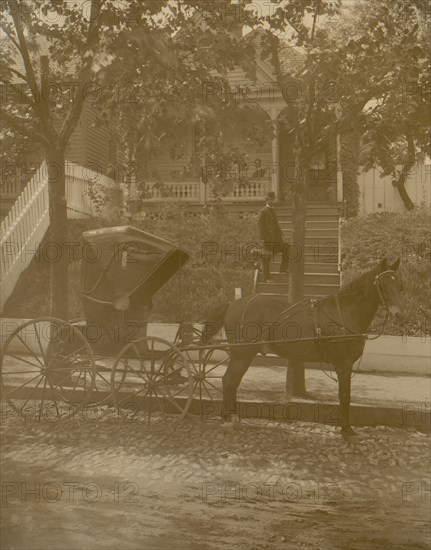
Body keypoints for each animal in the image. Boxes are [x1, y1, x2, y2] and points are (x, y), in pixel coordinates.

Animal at [202, 258, 404, 440]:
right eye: (384, 284)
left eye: (400, 285)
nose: (399, 313)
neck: (345, 314)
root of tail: (232, 304)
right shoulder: (343, 364)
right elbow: (344, 396)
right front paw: (346, 429)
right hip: (242, 354)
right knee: (229, 381)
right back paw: (229, 420)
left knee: (232, 382)